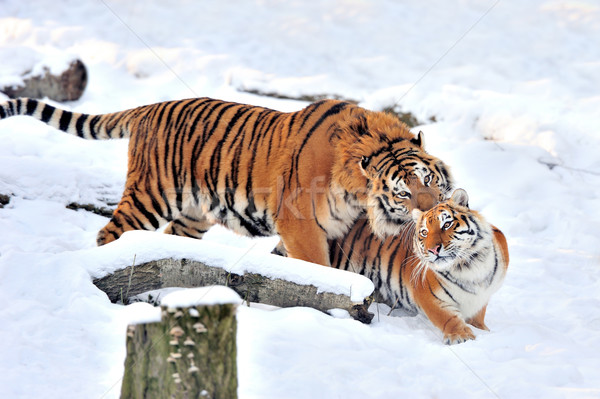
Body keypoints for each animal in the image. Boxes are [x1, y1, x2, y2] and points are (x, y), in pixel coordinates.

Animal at [0, 95, 450, 268]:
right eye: (404, 193)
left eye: (431, 181)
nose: (432, 214)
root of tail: (149, 107)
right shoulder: (301, 225)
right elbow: (319, 267)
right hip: (150, 196)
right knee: (108, 233)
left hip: (193, 213)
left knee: (173, 237)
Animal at [330, 189, 508, 346]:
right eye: (424, 232)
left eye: (447, 224)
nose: (433, 250)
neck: (469, 265)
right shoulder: (429, 296)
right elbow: (447, 318)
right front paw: (461, 336)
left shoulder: (483, 295)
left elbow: (478, 316)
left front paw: (482, 329)